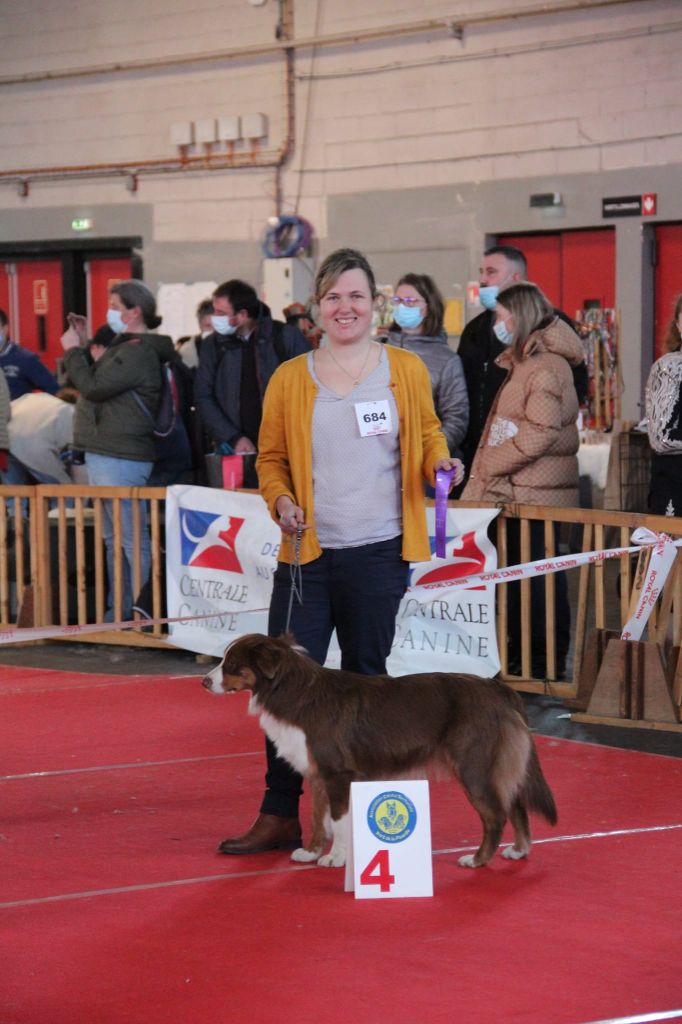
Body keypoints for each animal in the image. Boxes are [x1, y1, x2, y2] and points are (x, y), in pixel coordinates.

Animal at [200, 634, 552, 868]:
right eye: (223, 660)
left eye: (232, 664)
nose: (204, 682)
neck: (290, 689)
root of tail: (498, 688)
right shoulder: (318, 773)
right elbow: (317, 816)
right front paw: (311, 852)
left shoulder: (338, 773)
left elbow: (339, 820)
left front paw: (336, 857)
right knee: (516, 802)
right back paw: (519, 850)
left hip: (473, 766)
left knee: (496, 814)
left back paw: (477, 859)